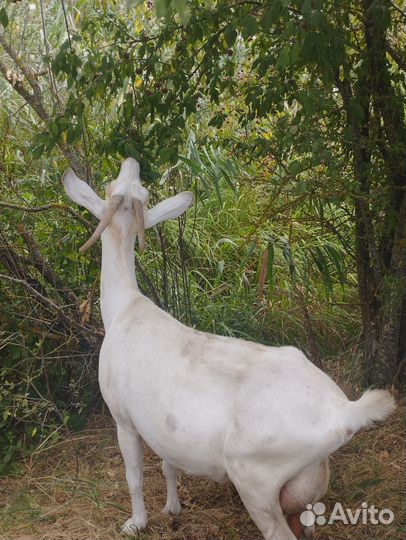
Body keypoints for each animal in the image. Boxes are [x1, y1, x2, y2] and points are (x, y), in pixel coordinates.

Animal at [63, 158, 396, 536]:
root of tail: (345, 412)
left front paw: (136, 523)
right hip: (306, 485)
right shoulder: (161, 427)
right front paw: (173, 508)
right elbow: (168, 465)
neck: (124, 308)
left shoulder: (124, 418)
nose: (131, 162)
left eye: (109, 187)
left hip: (255, 479)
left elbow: (134, 477)